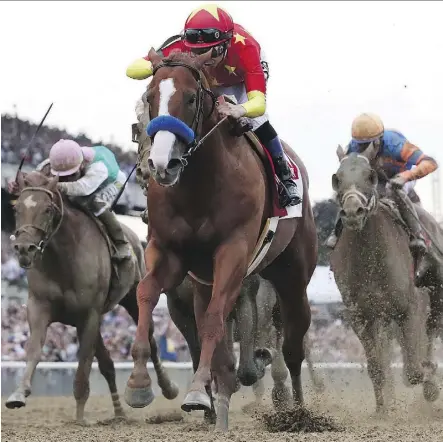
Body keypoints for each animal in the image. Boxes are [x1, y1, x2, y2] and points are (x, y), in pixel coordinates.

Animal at [5, 171, 179, 424]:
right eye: (17, 208)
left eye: (47, 209)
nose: (24, 248)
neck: (62, 259)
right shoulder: (39, 307)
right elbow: (34, 349)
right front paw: (19, 392)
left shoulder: (89, 314)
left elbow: (84, 363)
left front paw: (79, 416)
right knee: (107, 364)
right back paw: (119, 413)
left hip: (132, 299)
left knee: (151, 340)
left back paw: (165, 387)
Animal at [125, 49, 320, 432]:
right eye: (150, 98)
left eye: (190, 98)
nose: (160, 165)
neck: (198, 186)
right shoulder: (170, 255)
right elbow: (146, 293)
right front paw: (139, 384)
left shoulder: (233, 253)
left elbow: (216, 318)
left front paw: (200, 390)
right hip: (205, 281)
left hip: (292, 275)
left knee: (293, 345)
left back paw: (297, 411)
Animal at [330, 143, 440, 412]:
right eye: (337, 178)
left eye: (370, 176)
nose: (352, 212)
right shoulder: (361, 316)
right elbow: (377, 367)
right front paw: (383, 410)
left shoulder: (411, 308)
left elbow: (413, 369)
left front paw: (429, 379)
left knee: (430, 336)